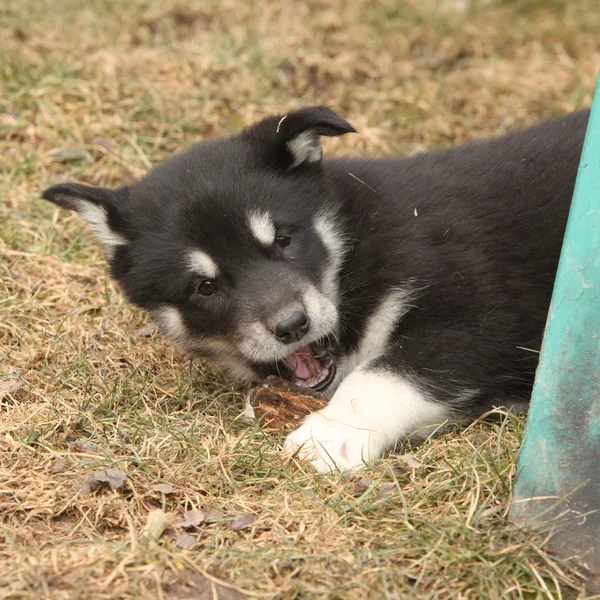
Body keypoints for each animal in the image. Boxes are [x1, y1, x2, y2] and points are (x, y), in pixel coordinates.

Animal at [41, 106, 584, 474]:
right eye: (205, 286)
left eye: (283, 240)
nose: (292, 326)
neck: (356, 246)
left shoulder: (479, 312)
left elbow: (384, 374)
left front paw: (331, 435)